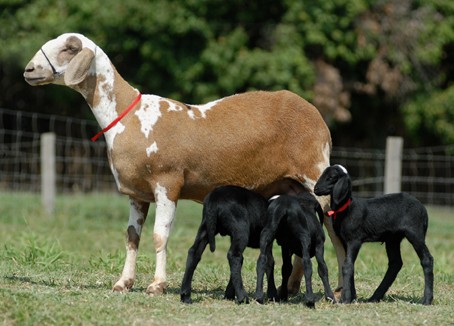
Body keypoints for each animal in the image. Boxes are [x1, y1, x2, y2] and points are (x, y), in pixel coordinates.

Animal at [23, 32, 344, 296]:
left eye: (69, 48)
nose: (29, 70)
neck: (130, 116)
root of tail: (319, 119)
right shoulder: (137, 193)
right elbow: (132, 237)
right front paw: (123, 283)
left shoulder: (167, 182)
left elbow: (159, 235)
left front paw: (157, 285)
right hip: (291, 185)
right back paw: (291, 288)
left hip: (315, 171)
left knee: (332, 226)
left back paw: (340, 290)